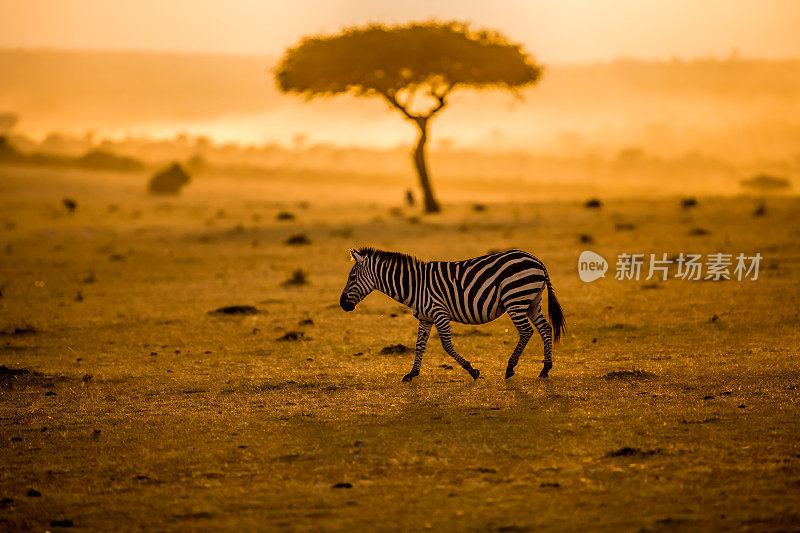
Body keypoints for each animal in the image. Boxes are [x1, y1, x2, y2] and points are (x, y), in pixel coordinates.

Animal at [340, 247, 564, 380]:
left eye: (352, 277)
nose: (342, 305)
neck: (415, 286)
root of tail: (537, 260)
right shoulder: (425, 317)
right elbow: (419, 345)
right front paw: (412, 373)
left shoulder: (440, 313)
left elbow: (447, 345)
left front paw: (472, 370)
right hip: (532, 302)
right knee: (545, 328)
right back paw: (545, 369)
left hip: (515, 300)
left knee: (526, 332)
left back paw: (510, 368)